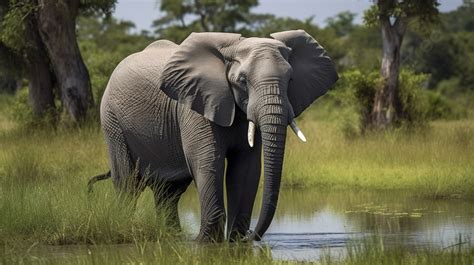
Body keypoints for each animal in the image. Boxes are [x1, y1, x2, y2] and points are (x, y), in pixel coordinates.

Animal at [96, 29, 338, 241]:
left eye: (291, 81)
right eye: (242, 81)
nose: (251, 235)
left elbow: (246, 168)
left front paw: (234, 241)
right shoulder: (196, 102)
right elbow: (207, 161)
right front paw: (207, 242)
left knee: (168, 191)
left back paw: (172, 237)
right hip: (112, 120)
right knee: (127, 183)